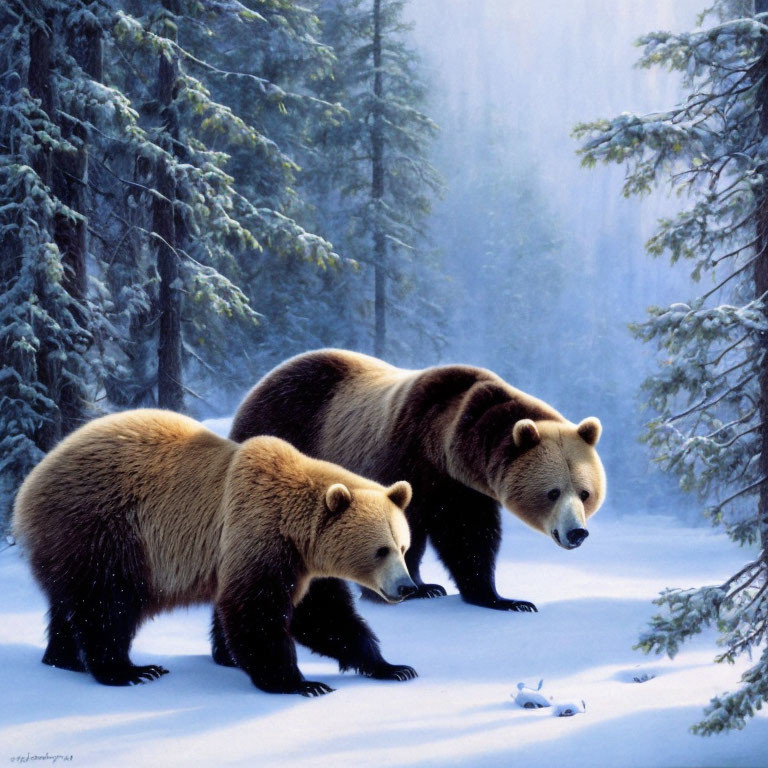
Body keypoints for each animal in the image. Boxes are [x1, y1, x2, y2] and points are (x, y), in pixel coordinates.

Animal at [12, 408, 416, 696]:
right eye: (381, 550)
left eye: (403, 547)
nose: (406, 587)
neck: (294, 526)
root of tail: (28, 486)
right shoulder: (258, 535)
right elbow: (258, 611)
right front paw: (300, 682)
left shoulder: (303, 565)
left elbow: (326, 615)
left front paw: (393, 667)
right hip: (105, 527)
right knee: (108, 602)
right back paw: (129, 671)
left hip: (74, 541)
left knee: (71, 602)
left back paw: (63, 658)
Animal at [230, 352, 608, 616]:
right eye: (553, 492)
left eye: (585, 493)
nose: (577, 532)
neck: (442, 445)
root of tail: (260, 383)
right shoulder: (404, 457)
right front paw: (407, 588)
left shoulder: (463, 488)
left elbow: (470, 537)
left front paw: (501, 598)